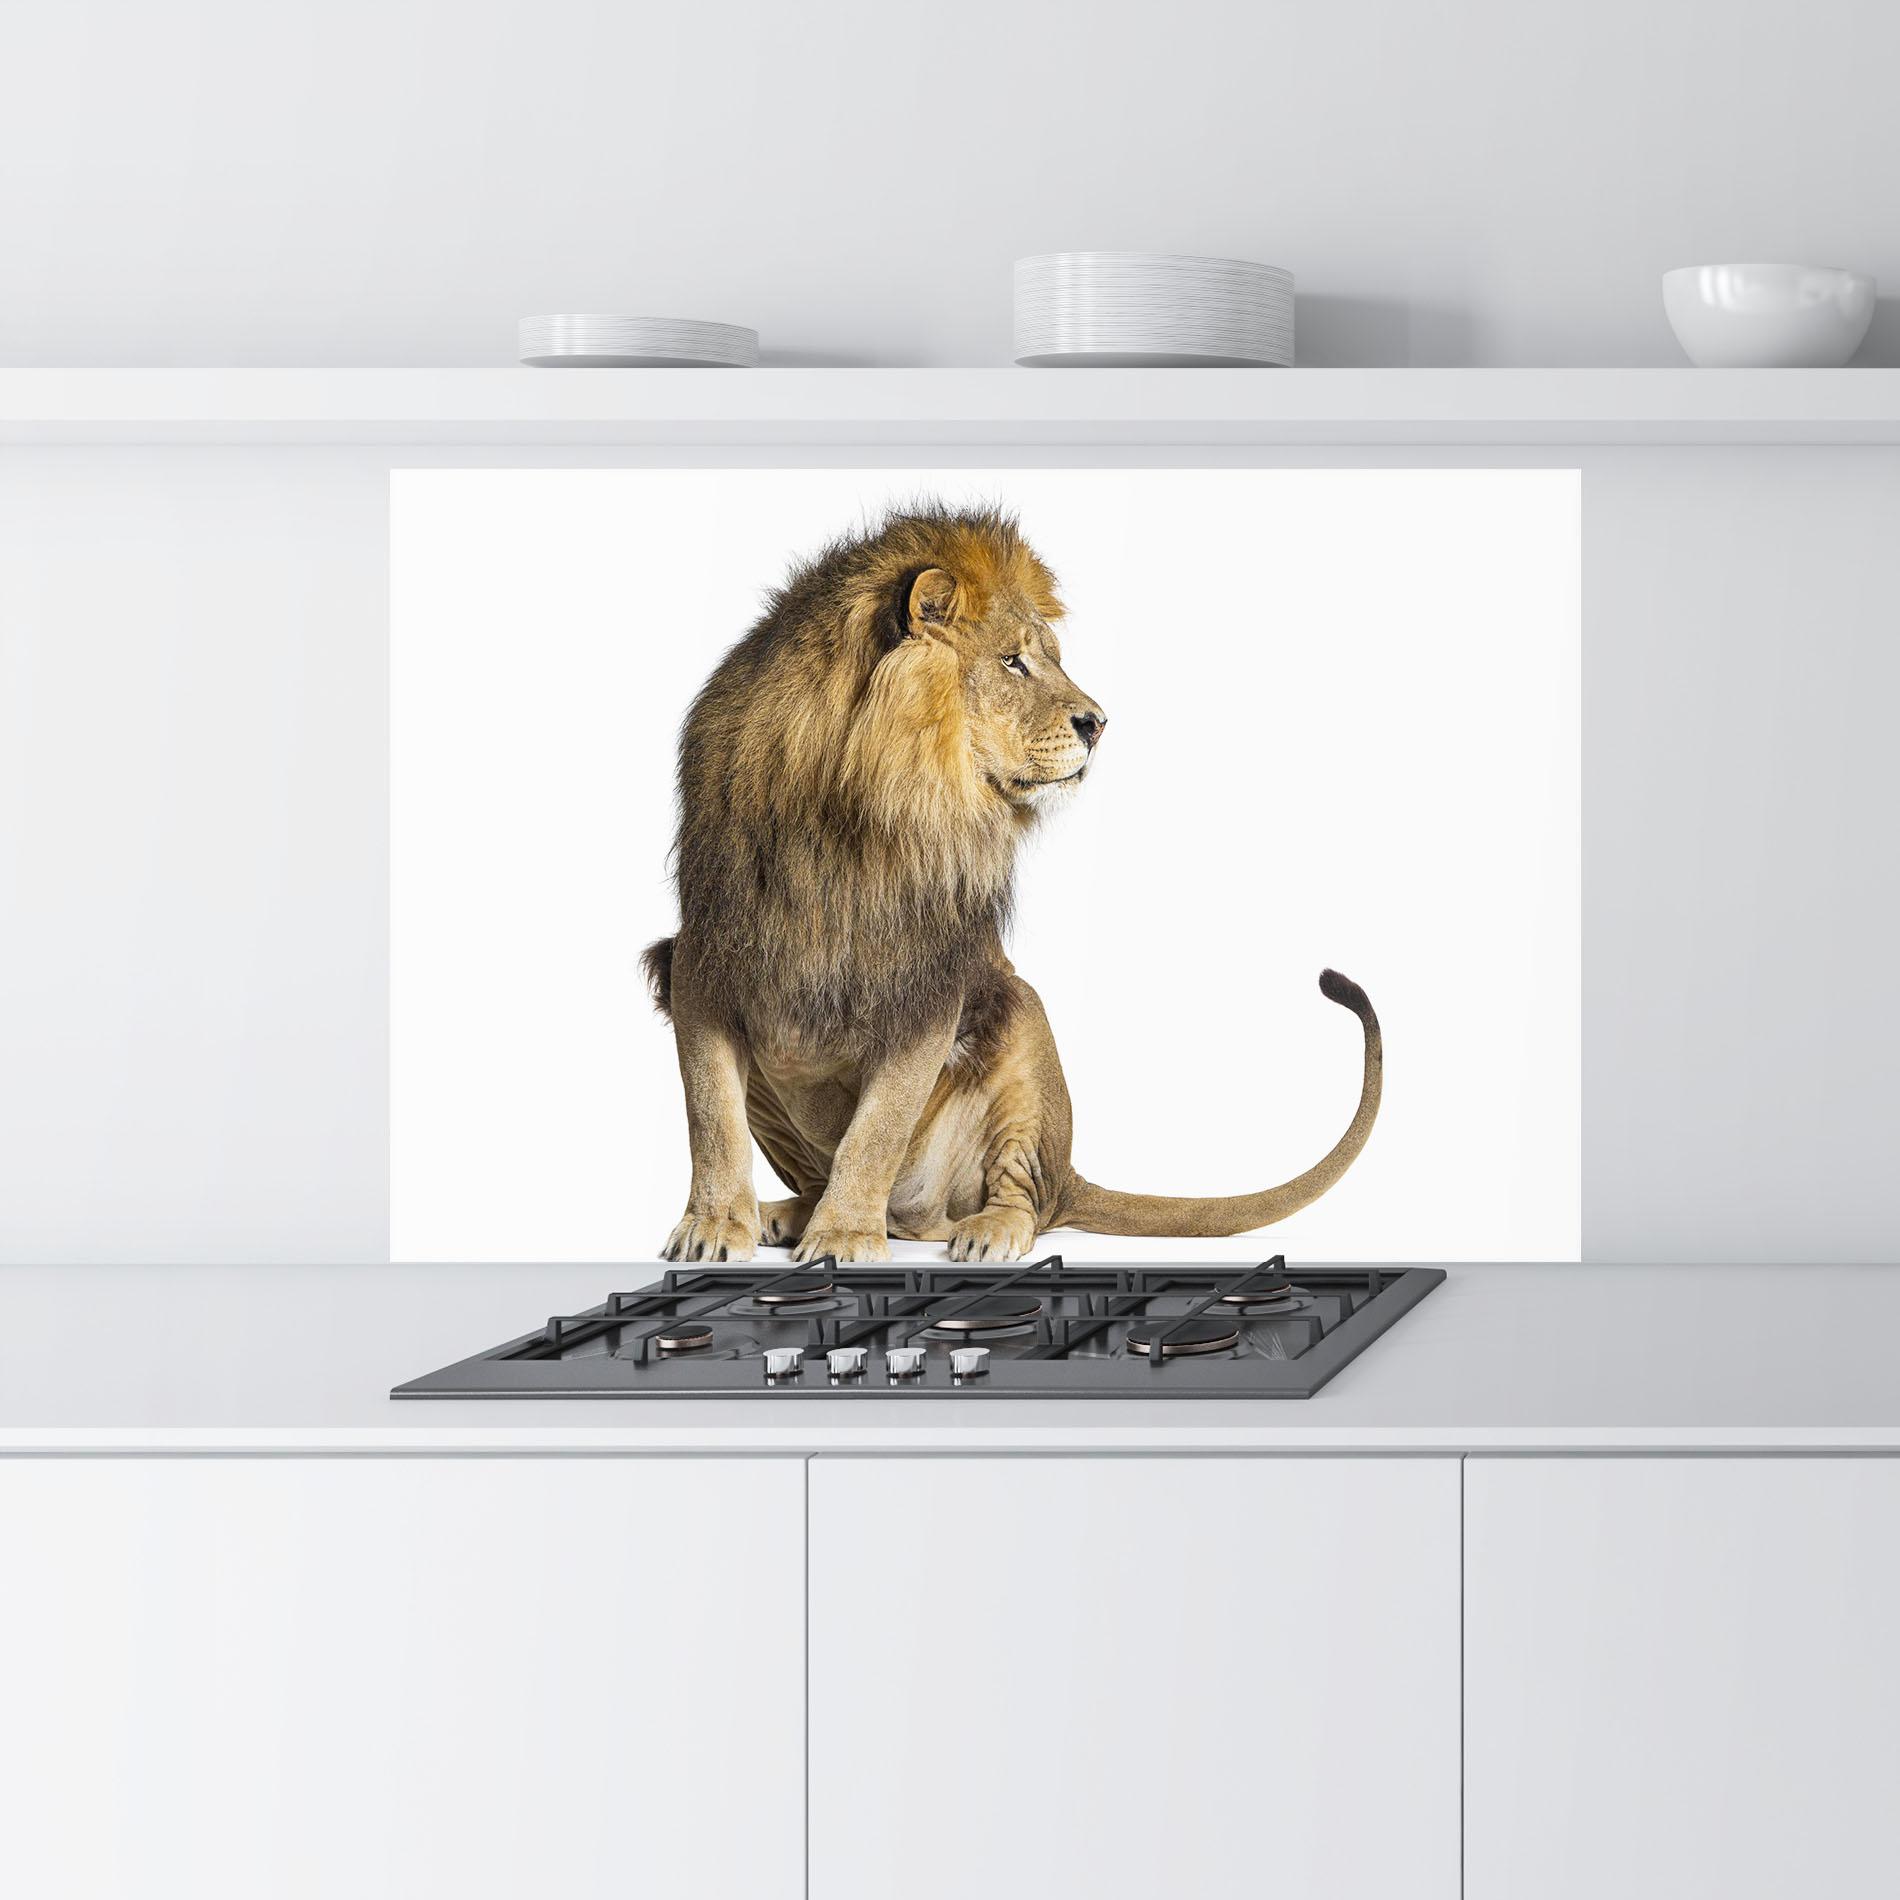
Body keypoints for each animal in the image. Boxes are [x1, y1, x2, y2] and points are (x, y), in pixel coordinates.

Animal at [644, 503, 1380, 1264]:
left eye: (1048, 657)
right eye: (1013, 661)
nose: (1099, 724)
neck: (852, 813)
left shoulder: (930, 983)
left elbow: (876, 1130)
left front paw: (844, 1234)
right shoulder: (701, 957)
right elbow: (712, 1115)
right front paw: (714, 1226)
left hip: (1020, 1023)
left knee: (1020, 1197)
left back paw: (981, 1230)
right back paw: (789, 1213)